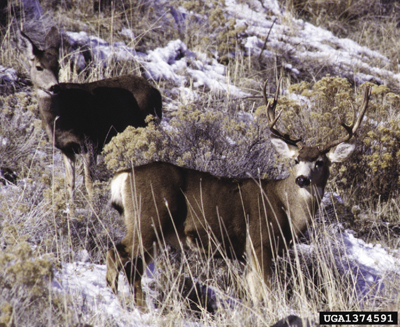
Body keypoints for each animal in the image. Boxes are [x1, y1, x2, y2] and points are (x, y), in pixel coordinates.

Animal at [17, 28, 161, 201]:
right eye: (39, 67)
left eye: (57, 66)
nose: (54, 87)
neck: (60, 118)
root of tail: (156, 92)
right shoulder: (66, 148)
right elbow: (70, 184)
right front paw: (70, 209)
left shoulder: (89, 142)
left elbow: (90, 184)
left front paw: (93, 209)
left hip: (150, 125)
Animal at [107, 82, 372, 308]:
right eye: (296, 160)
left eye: (319, 162)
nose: (302, 179)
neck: (284, 207)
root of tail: (124, 176)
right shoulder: (259, 241)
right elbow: (268, 293)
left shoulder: (246, 255)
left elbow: (255, 295)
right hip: (149, 219)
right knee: (119, 254)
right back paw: (122, 302)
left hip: (152, 231)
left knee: (132, 266)